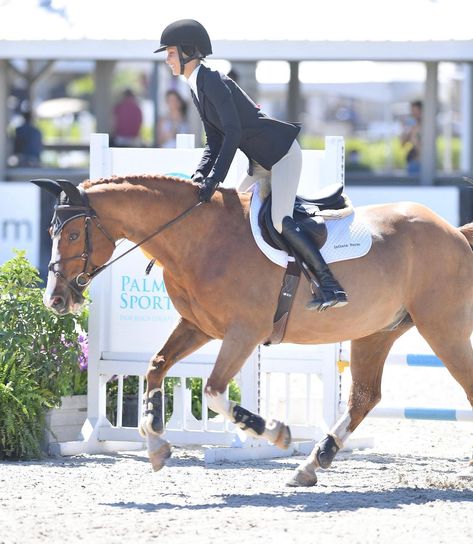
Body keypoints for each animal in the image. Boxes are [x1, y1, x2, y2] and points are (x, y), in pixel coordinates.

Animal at [33, 176, 472, 486]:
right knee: (364, 397)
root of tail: (454, 232)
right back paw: (313, 464)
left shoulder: (243, 332)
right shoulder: (198, 327)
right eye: (51, 233)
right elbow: (156, 367)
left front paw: (276, 433)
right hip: (376, 331)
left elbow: (213, 391)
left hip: (443, 327)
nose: (55, 300)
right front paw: (155, 443)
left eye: (73, 234)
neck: (198, 239)